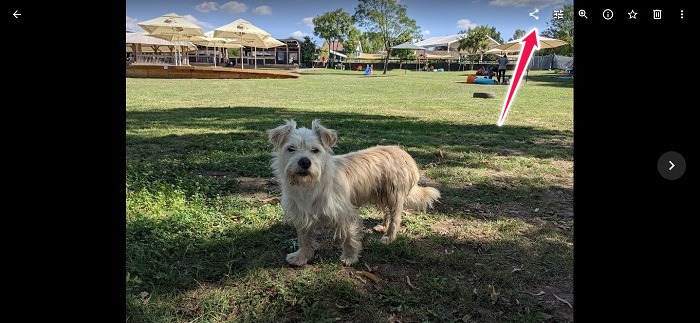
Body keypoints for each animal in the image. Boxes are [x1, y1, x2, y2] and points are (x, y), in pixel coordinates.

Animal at [266, 120, 440, 268]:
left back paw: (389, 236)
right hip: (381, 194)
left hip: (394, 195)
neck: (310, 185)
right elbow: (304, 239)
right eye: (290, 149)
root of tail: (402, 152)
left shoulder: (345, 214)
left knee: (395, 217)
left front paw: (350, 258)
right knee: (387, 212)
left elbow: (349, 237)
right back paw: (383, 226)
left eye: (315, 150)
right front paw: (302, 257)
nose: (304, 162)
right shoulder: (302, 215)